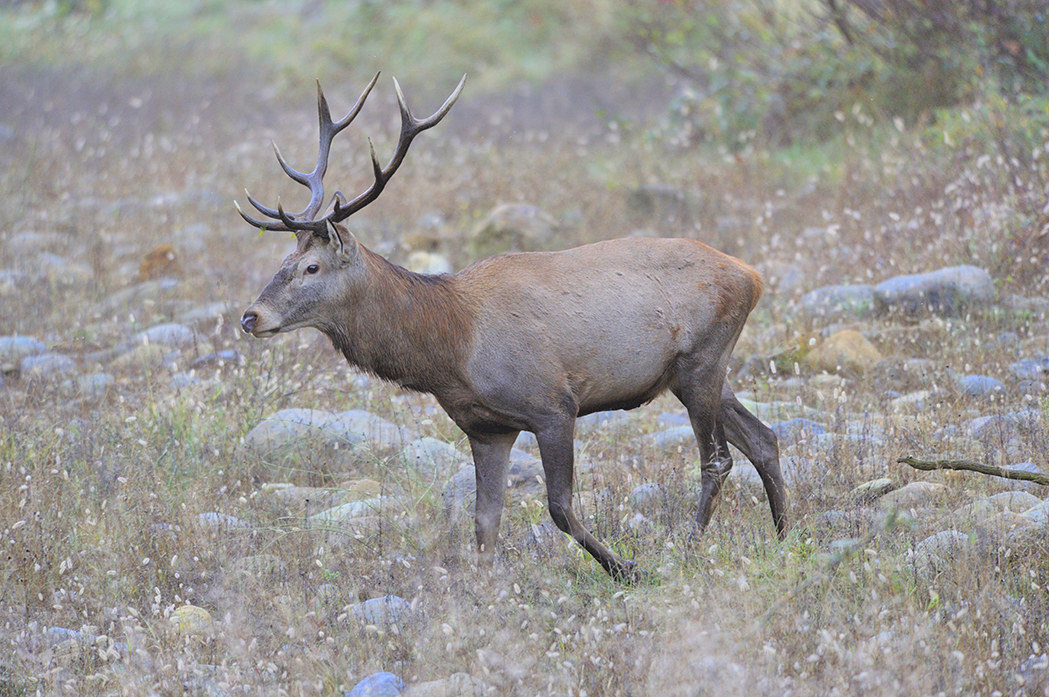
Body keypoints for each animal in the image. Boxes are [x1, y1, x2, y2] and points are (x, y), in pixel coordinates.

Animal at [237, 73, 787, 581]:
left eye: (312, 267)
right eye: (284, 260)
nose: (250, 316)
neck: (451, 351)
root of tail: (752, 276)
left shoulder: (553, 405)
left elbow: (560, 508)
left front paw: (627, 568)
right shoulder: (487, 428)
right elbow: (485, 524)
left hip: (701, 361)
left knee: (717, 460)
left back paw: (687, 549)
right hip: (695, 372)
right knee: (763, 438)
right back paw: (787, 535)